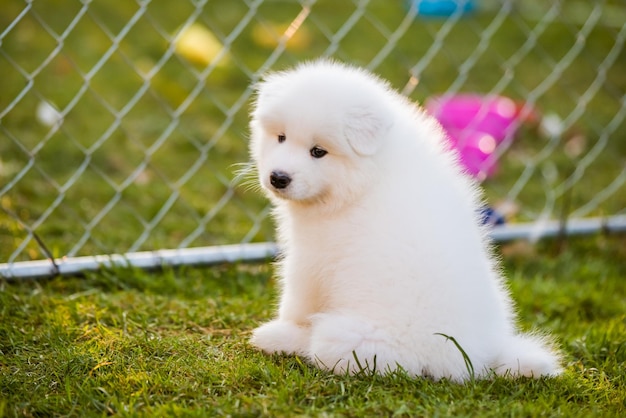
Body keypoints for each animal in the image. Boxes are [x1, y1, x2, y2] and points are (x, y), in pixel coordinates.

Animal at [245, 59, 560, 382]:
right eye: (281, 137)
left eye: (318, 152)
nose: (278, 178)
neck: (365, 180)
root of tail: (482, 360)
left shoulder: (311, 258)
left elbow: (296, 302)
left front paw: (283, 328)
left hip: (351, 338)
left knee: (320, 344)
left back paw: (276, 338)